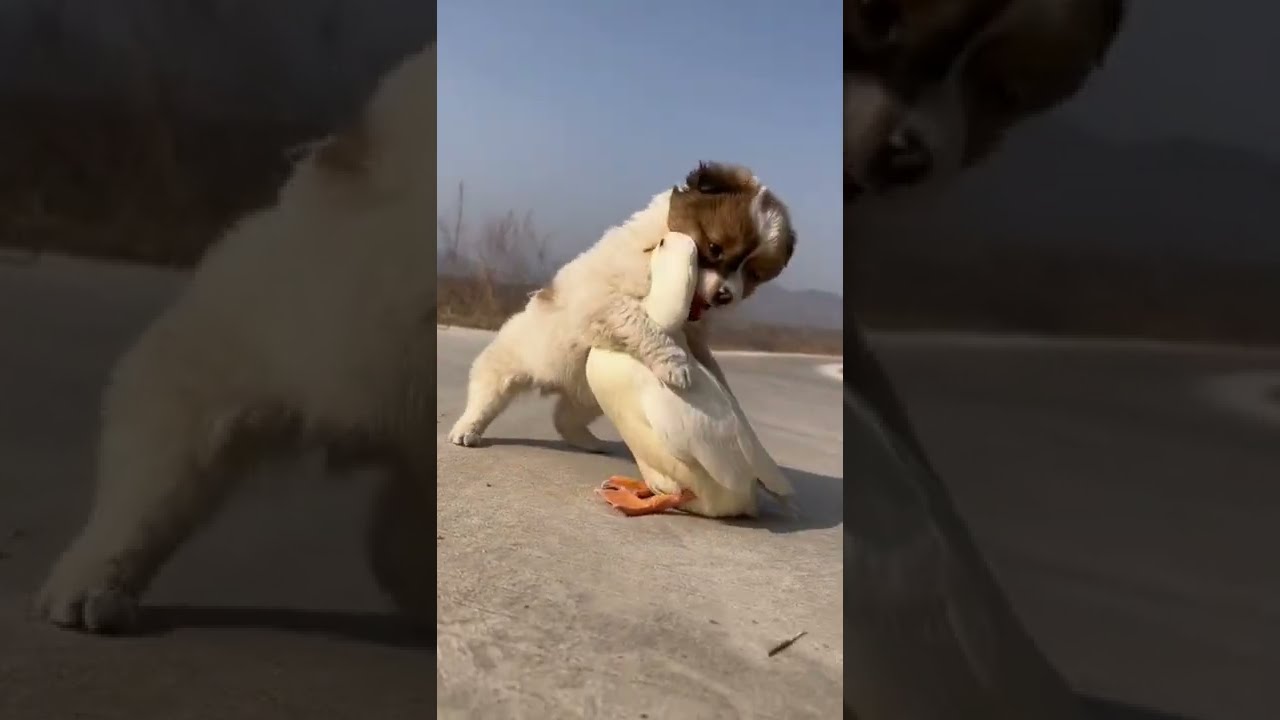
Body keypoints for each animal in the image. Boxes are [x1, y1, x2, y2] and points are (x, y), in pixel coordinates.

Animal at [445, 163, 793, 448]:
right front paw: (675, 364)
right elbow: (641, 322)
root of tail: (553, 383)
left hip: (589, 396)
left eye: (752, 274)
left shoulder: (695, 334)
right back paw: (466, 430)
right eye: (714, 248)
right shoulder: (605, 302)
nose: (724, 295)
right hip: (508, 364)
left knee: (564, 417)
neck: (658, 248)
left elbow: (708, 361)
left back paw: (588, 441)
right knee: (487, 393)